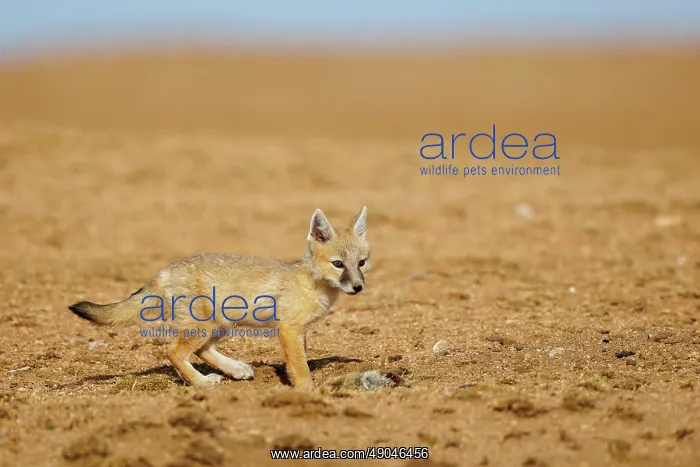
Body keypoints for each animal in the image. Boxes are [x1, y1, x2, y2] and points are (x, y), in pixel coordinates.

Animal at [68, 206, 371, 389]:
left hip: (221, 324)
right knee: (174, 352)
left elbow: (298, 361)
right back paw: (202, 383)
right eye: (338, 264)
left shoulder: (299, 332)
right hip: (205, 326)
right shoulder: (289, 328)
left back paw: (235, 369)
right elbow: (300, 365)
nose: (358, 287)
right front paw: (308, 389)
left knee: (201, 350)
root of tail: (165, 270)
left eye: (362, 263)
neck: (311, 282)